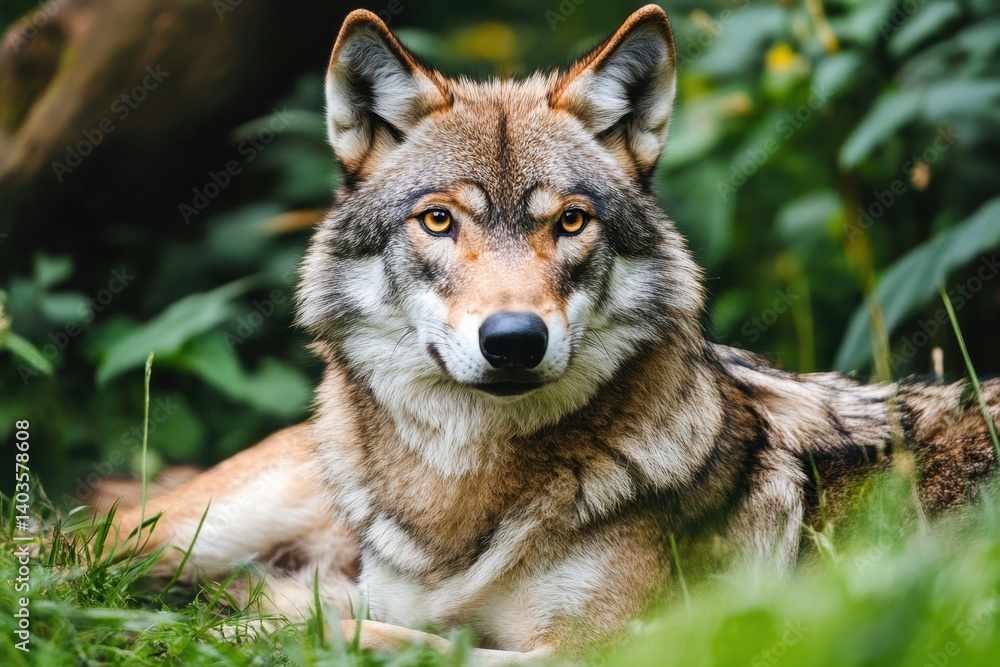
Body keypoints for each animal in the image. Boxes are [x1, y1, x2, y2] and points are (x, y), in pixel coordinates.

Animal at [112, 5, 1000, 663]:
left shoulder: (609, 647)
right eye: (440, 220)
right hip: (200, 522)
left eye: (570, 221)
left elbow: (391, 638)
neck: (462, 508)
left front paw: (254, 619)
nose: (514, 339)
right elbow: (383, 625)